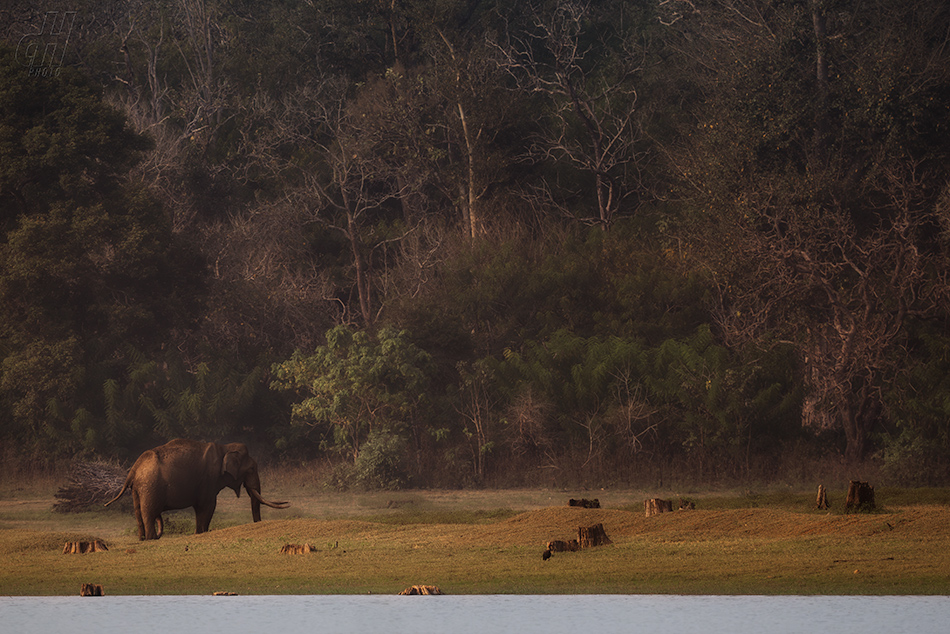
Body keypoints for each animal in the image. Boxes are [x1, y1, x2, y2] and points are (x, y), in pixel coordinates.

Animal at [105, 440, 290, 540]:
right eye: (252, 469)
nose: (258, 523)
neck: (224, 447)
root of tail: (133, 469)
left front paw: (197, 533)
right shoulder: (209, 480)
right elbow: (207, 506)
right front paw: (201, 532)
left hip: (137, 489)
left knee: (138, 512)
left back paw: (142, 539)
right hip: (150, 487)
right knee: (148, 513)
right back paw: (151, 539)